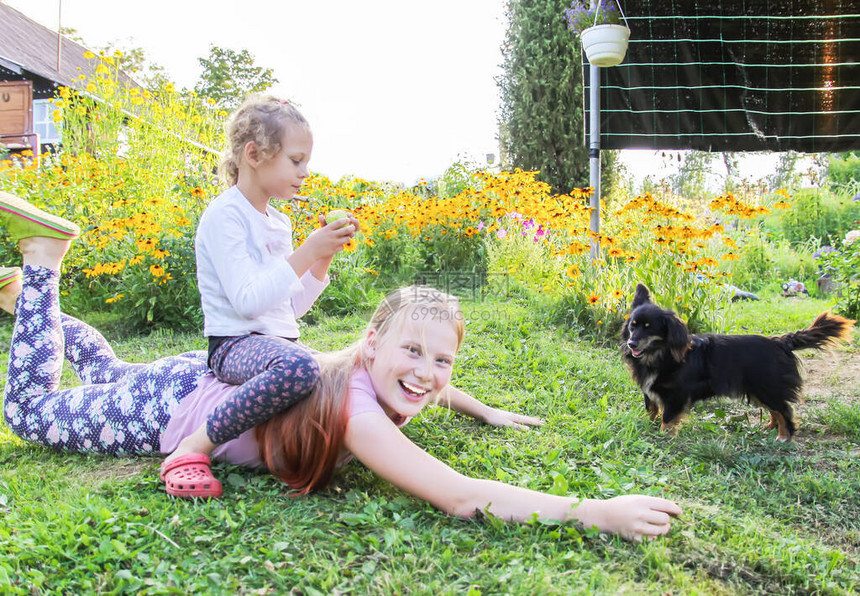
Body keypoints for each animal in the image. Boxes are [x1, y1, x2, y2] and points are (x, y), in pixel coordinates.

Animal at [620, 282, 852, 440]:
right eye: (633, 326)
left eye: (649, 328)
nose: (631, 343)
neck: (659, 354)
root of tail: (780, 342)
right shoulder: (650, 392)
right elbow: (651, 410)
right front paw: (646, 426)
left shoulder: (676, 395)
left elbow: (667, 418)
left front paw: (663, 436)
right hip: (758, 390)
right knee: (775, 410)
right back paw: (770, 428)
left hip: (767, 386)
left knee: (784, 410)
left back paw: (784, 436)